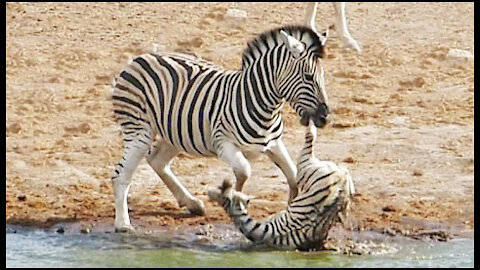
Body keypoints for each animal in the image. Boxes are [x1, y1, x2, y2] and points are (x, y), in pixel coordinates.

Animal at [111, 24, 330, 232]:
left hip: (175, 132)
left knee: (157, 161)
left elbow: (293, 176)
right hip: (140, 131)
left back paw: (192, 204)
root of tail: (139, 59)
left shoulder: (274, 143)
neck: (259, 102)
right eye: (308, 76)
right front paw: (237, 201)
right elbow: (244, 170)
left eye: (322, 75)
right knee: (120, 175)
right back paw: (123, 224)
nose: (324, 117)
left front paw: (291, 206)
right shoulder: (223, 144)